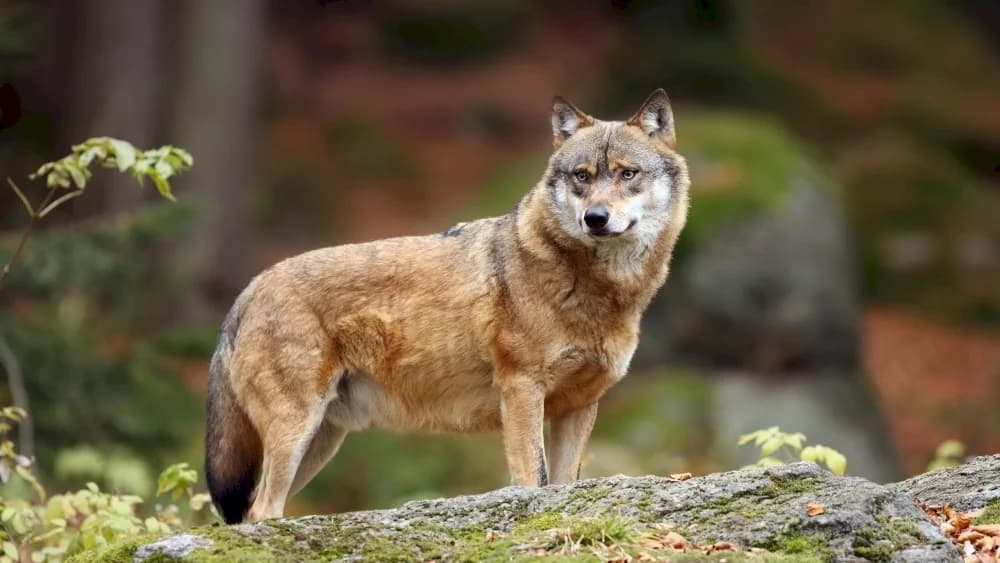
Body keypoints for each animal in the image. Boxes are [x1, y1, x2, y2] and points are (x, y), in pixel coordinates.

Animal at [205, 89, 690, 523]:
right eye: (582, 177)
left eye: (627, 174)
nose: (595, 218)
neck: (598, 289)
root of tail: (250, 288)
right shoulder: (521, 389)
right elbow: (533, 480)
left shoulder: (579, 406)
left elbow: (564, 485)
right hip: (297, 433)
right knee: (260, 511)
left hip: (320, 442)